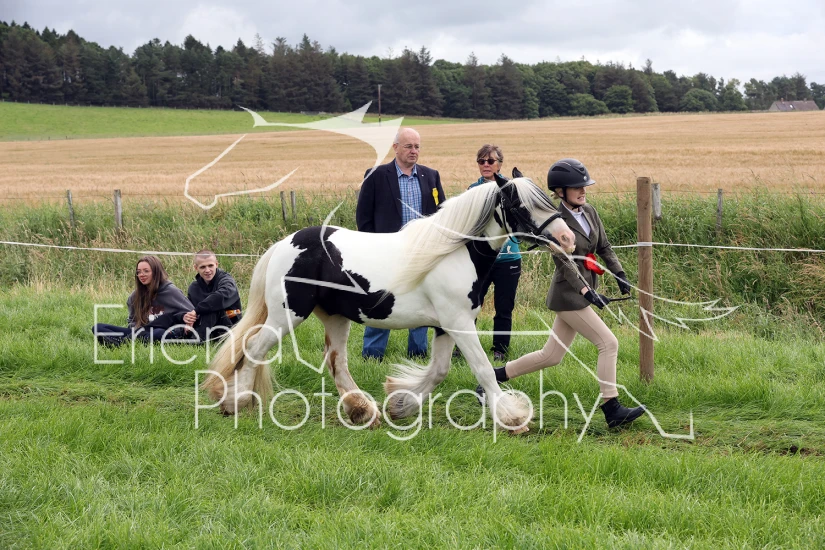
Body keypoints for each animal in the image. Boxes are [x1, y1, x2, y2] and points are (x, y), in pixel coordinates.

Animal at [201, 173, 576, 432]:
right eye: (520, 205)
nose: (567, 238)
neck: (454, 253)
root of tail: (283, 245)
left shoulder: (447, 325)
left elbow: (439, 371)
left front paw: (401, 404)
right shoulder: (458, 323)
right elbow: (483, 369)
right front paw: (513, 418)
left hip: (335, 317)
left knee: (336, 363)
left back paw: (364, 412)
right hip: (287, 316)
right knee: (254, 347)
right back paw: (236, 402)